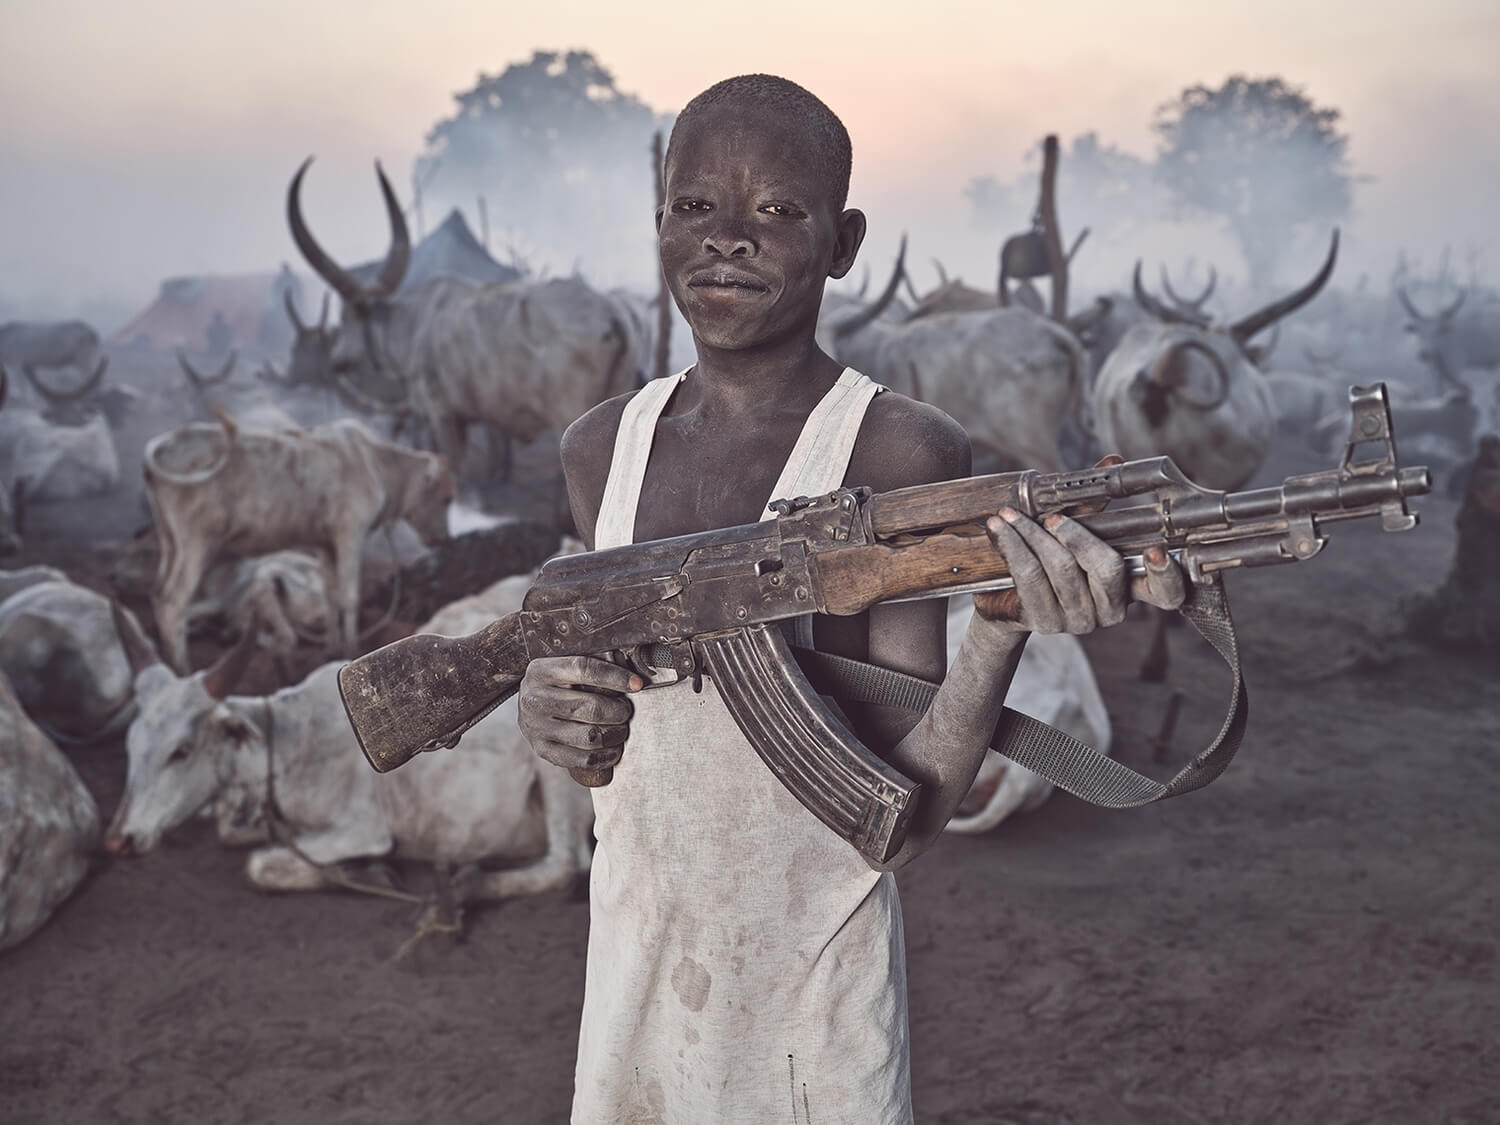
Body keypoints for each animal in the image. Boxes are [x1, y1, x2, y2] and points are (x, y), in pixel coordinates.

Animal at [102, 552, 594, 912]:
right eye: (131, 746)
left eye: (180, 751)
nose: (117, 841)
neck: (289, 745)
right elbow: (237, 831)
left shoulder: (363, 827)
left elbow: (262, 866)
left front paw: (368, 872)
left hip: (555, 770)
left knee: (564, 865)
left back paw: (468, 886)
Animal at [143, 414, 453, 678]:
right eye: (446, 498)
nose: (443, 538)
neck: (375, 462)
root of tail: (163, 446)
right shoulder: (349, 532)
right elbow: (350, 596)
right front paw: (352, 649)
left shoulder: (324, 542)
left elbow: (331, 594)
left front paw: (333, 648)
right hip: (197, 540)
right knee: (173, 601)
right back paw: (183, 671)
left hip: (170, 540)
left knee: (158, 595)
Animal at [286, 162, 645, 486]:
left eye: (345, 316)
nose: (336, 360)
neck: (415, 324)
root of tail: (613, 313)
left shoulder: (442, 415)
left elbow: (452, 467)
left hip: (569, 412)